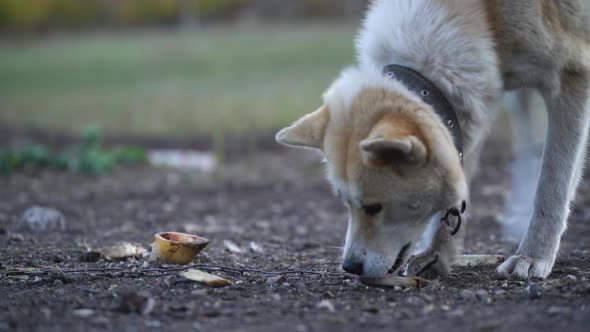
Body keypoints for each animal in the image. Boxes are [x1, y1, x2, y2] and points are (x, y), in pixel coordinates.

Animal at [276, 0, 590, 280]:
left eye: (374, 207)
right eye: (345, 203)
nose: (349, 267)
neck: (483, 13)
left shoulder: (573, 76)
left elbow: (553, 184)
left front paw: (533, 256)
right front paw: (435, 254)